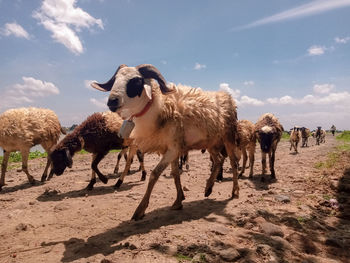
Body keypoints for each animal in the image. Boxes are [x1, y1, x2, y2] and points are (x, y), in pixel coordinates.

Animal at [92, 64, 241, 221]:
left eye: (136, 81)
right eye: (115, 80)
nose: (112, 101)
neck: (159, 108)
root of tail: (227, 97)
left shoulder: (173, 149)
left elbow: (154, 174)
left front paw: (140, 209)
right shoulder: (171, 149)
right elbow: (175, 174)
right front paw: (178, 201)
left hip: (228, 136)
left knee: (233, 162)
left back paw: (235, 192)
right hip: (211, 141)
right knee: (219, 160)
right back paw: (208, 188)